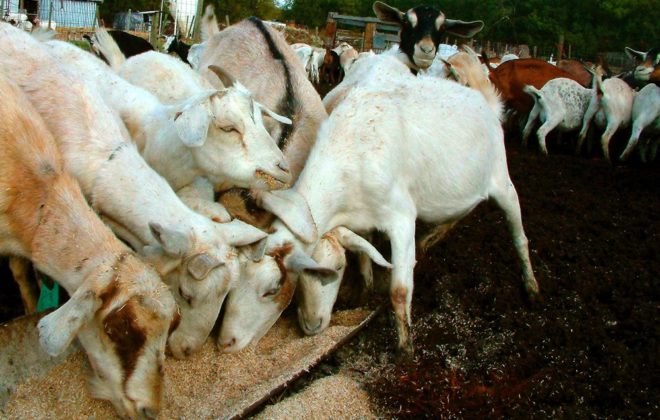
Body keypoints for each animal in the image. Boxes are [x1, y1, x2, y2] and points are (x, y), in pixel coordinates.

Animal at [219, 54, 539, 355]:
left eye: (272, 289)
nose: (226, 341)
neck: (352, 155)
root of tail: (485, 101)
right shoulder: (360, 219)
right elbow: (364, 255)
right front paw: (364, 291)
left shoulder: (401, 219)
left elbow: (399, 289)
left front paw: (405, 348)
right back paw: (434, 236)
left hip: (502, 179)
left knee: (519, 234)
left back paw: (532, 288)